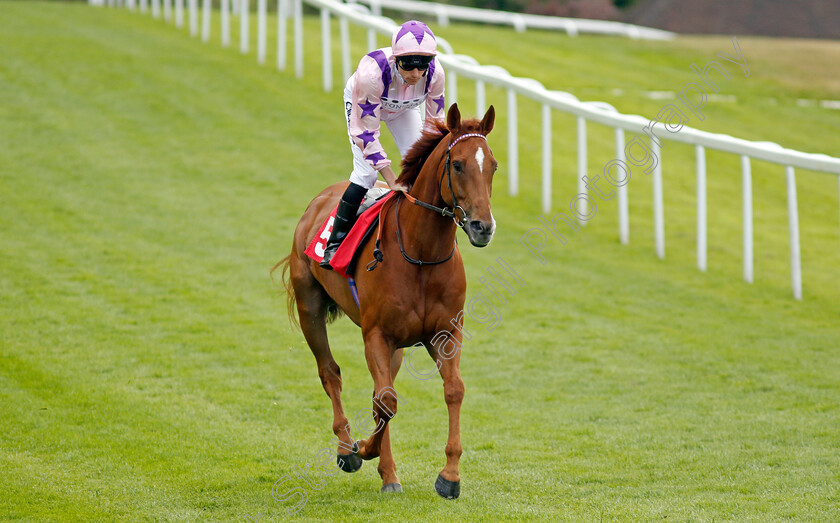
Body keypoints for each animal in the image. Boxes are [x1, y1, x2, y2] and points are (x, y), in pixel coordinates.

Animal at [276, 103, 498, 500]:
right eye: (458, 164)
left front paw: (449, 476)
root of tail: (318, 200)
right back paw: (349, 449)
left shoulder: (445, 334)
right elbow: (385, 400)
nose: (482, 227)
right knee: (330, 373)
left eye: (494, 165)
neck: (421, 254)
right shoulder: (376, 334)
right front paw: (363, 449)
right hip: (309, 308)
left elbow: (451, 391)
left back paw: (387, 472)